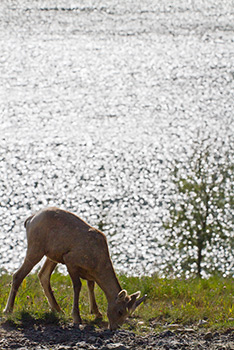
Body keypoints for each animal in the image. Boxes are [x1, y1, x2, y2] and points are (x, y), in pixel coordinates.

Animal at [3, 206, 145, 330]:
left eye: (129, 314)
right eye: (120, 311)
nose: (115, 328)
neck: (98, 263)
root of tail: (30, 219)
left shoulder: (89, 273)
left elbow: (91, 286)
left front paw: (97, 312)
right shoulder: (70, 261)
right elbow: (77, 286)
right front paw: (77, 317)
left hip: (52, 256)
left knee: (43, 275)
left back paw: (58, 310)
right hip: (36, 248)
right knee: (18, 275)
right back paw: (8, 310)